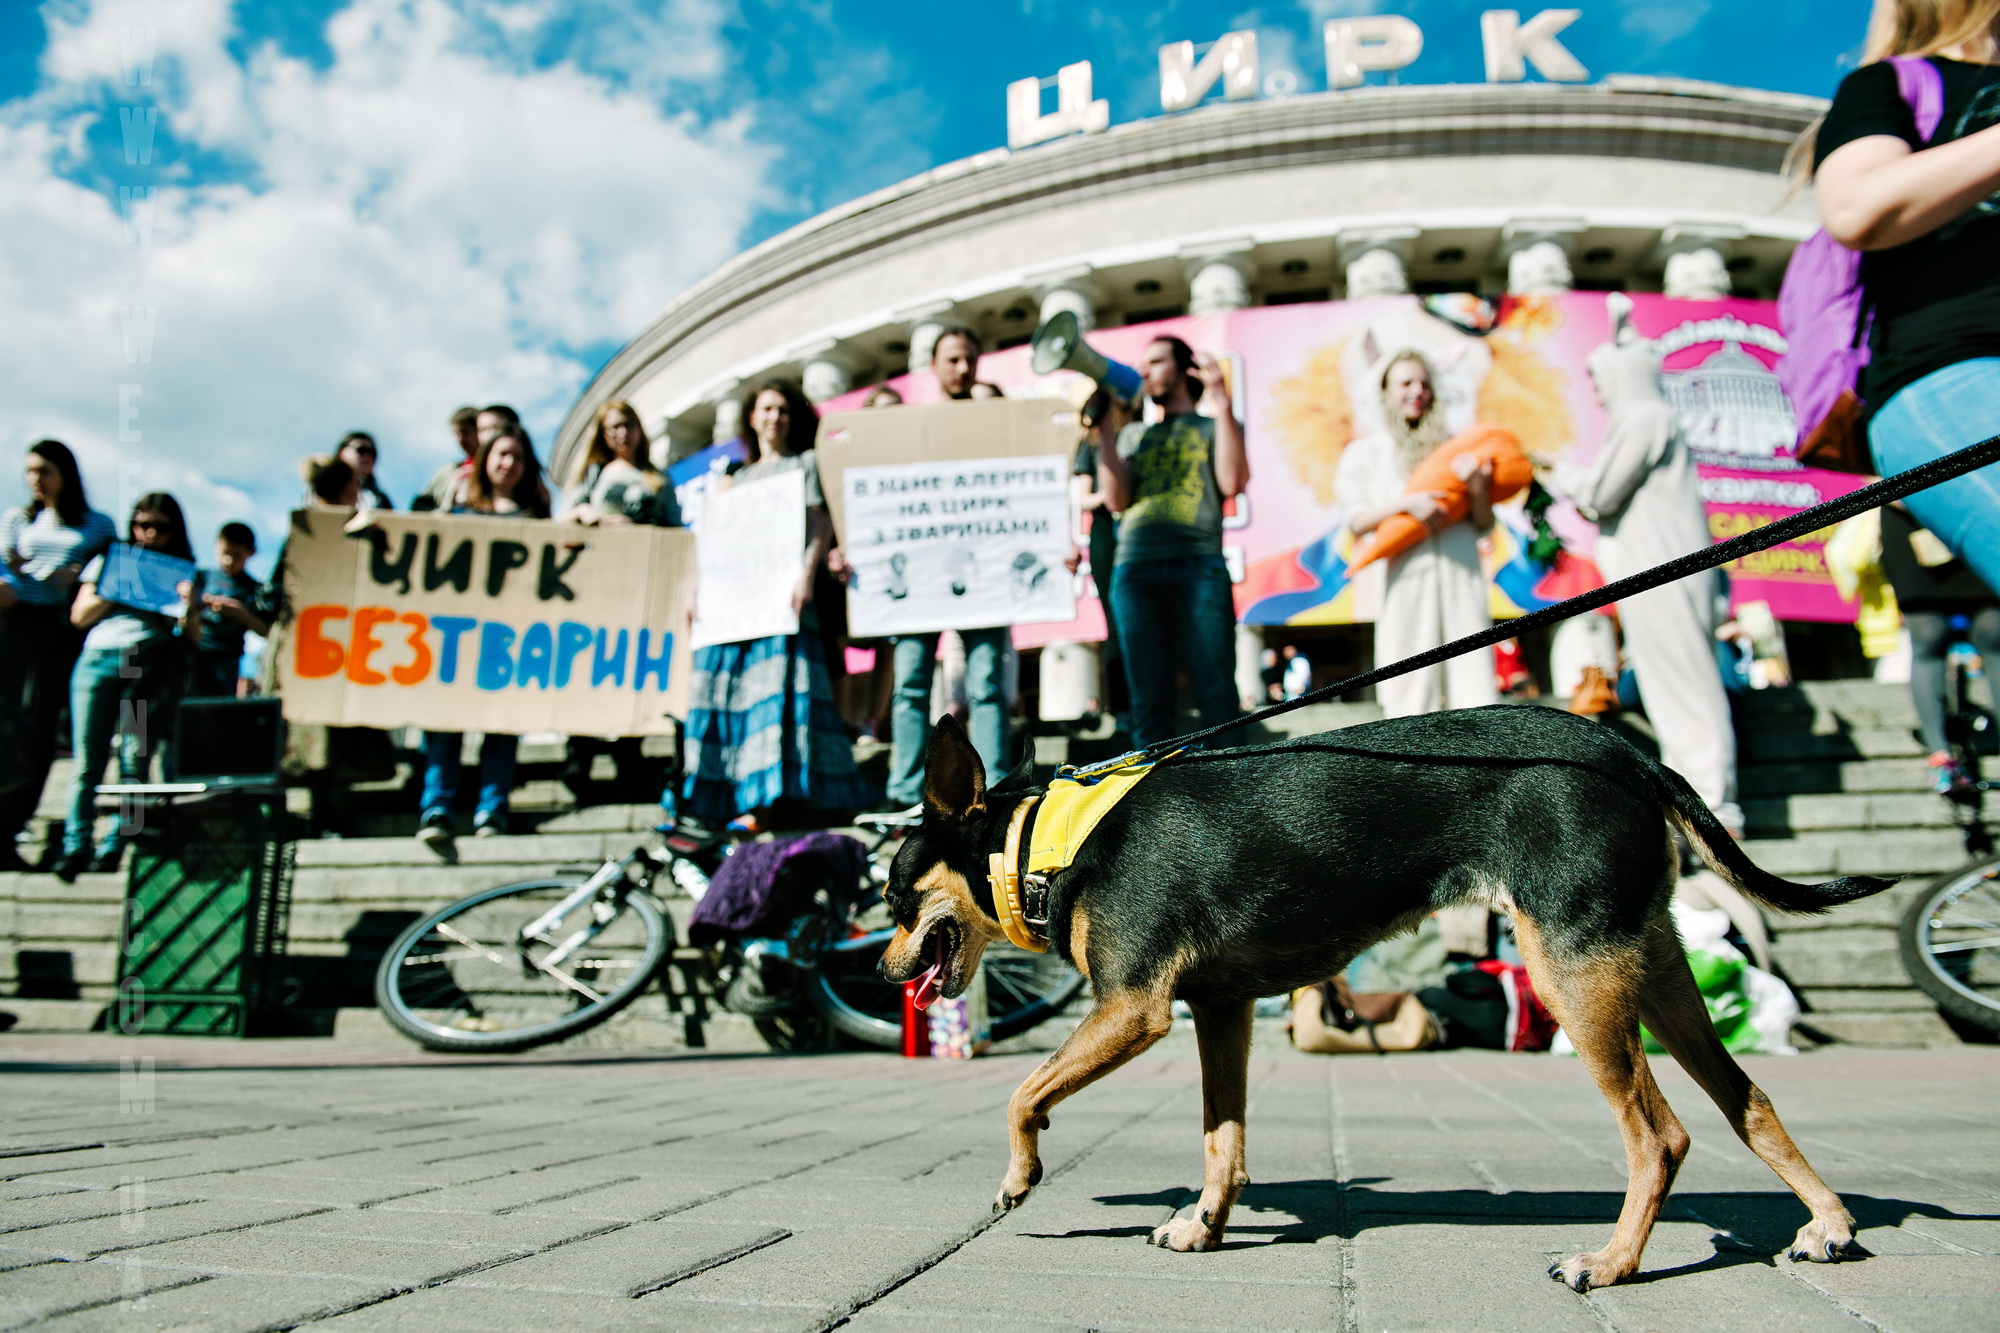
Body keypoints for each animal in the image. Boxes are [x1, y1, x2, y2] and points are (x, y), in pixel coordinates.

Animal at [884, 704, 1896, 1288]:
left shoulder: (1134, 1009)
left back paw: (1612, 1263)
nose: (888, 971)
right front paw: (1206, 1224)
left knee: (1661, 1135)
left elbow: (1022, 1094)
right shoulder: (1221, 1011)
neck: (1048, 839)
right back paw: (1828, 1223)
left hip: (1575, 975)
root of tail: (1631, 755)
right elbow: (1222, 1140)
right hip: (1649, 970)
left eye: (892, 897)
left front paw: (1019, 1174)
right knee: (1745, 1098)